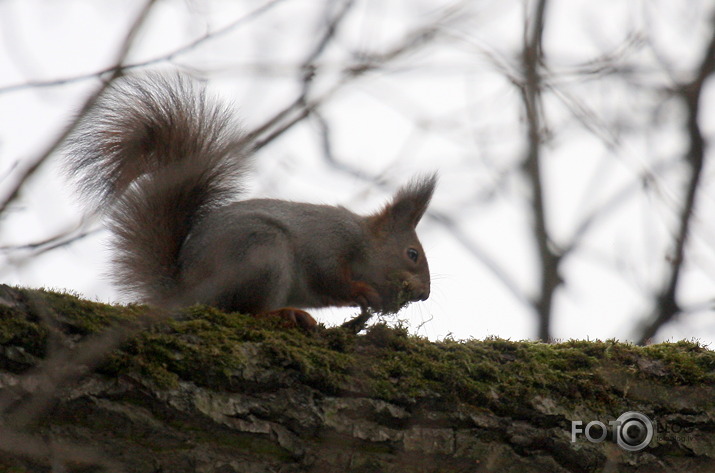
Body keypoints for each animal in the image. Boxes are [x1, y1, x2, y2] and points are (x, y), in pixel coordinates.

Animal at [65, 73, 436, 328]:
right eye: (412, 254)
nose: (425, 295)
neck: (363, 239)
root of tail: (187, 292)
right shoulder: (328, 241)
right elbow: (329, 277)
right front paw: (364, 292)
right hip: (262, 254)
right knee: (246, 311)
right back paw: (284, 314)